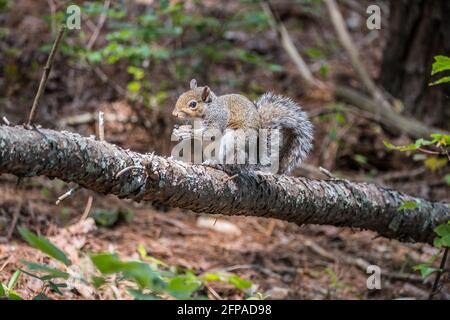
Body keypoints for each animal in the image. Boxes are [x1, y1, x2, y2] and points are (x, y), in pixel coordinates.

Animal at [172, 79, 312, 175]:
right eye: (180, 96)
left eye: (193, 104)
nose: (174, 114)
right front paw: (180, 131)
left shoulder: (219, 117)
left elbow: (212, 132)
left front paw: (189, 132)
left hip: (234, 140)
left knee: (230, 166)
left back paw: (216, 164)